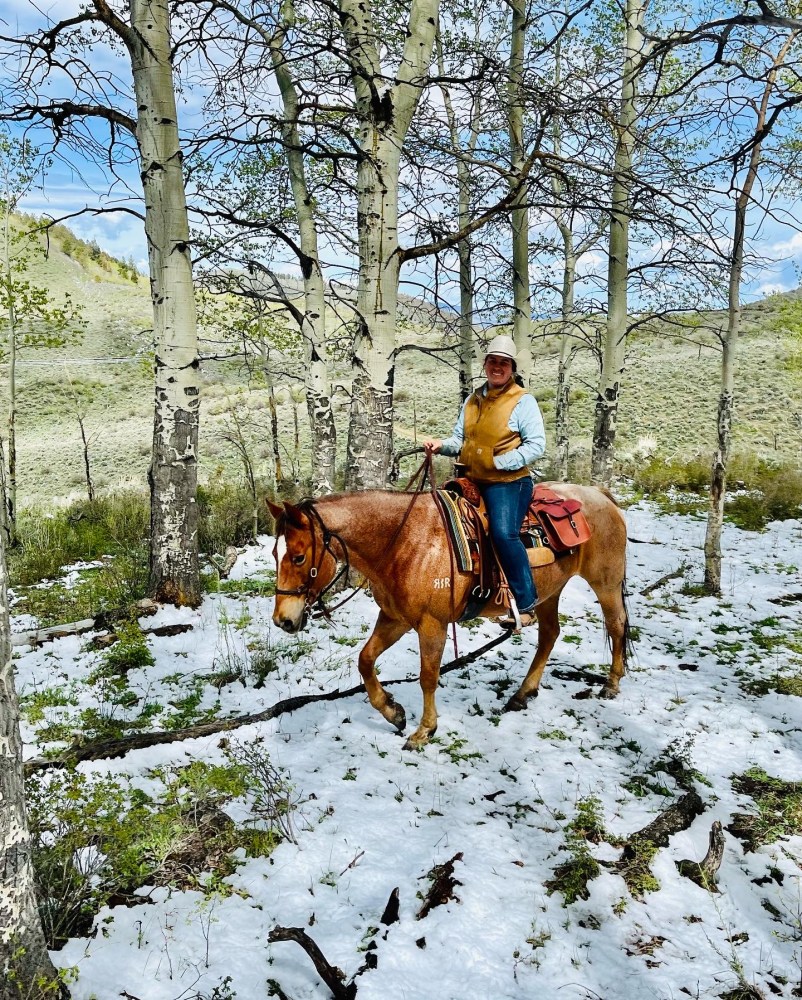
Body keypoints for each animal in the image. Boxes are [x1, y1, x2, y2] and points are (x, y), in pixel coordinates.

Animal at [268, 484, 632, 752]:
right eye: (275, 553)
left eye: (298, 557)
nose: (282, 620)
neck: (402, 542)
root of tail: (600, 495)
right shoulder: (395, 618)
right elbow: (365, 659)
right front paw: (393, 712)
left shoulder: (432, 624)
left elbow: (428, 677)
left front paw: (424, 731)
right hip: (549, 591)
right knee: (550, 635)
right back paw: (522, 694)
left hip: (605, 582)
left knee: (616, 625)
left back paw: (611, 685)